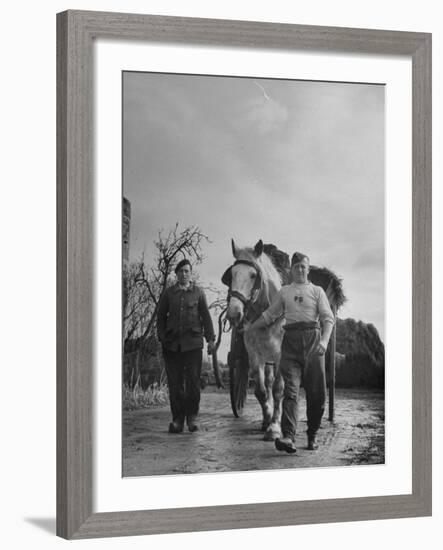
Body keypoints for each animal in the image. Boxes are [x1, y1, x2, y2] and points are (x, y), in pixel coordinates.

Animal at [224, 239, 286, 442]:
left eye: (253, 275)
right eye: (232, 274)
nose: (234, 314)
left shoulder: (282, 355)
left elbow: (279, 389)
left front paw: (274, 427)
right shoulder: (254, 355)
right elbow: (261, 391)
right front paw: (267, 420)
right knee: (268, 382)